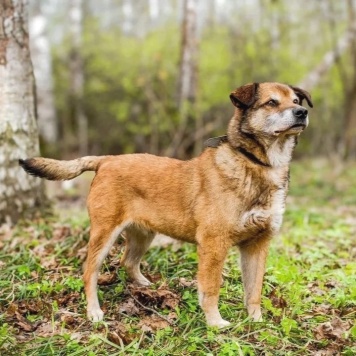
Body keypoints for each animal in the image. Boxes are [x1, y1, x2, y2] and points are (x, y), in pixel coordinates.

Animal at [20, 82, 312, 326]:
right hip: (104, 234)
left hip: (143, 234)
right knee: (89, 271)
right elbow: (211, 289)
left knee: (128, 262)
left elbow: (254, 290)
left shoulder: (257, 245)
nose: (302, 112)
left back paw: (144, 286)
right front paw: (215, 323)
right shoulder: (214, 245)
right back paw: (94, 311)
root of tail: (106, 160)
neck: (257, 164)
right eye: (271, 102)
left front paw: (256, 322)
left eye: (296, 100)